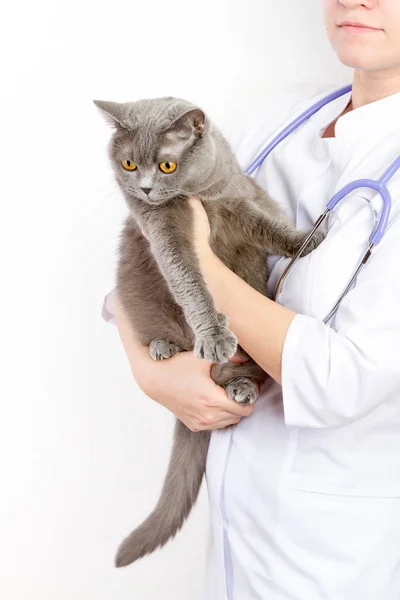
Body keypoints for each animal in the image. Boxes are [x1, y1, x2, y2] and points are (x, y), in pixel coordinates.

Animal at [94, 94, 324, 568]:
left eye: (166, 165)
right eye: (128, 164)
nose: (145, 188)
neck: (198, 197)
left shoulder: (236, 200)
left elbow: (266, 223)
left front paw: (306, 240)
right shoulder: (159, 228)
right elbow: (188, 278)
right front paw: (214, 337)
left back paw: (240, 388)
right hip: (137, 295)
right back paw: (165, 348)